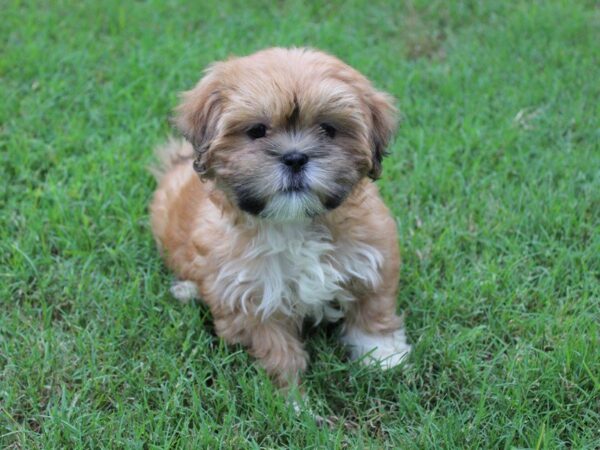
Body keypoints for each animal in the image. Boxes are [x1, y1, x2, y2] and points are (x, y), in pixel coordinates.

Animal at [151, 48, 412, 386]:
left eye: (328, 129)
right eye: (257, 131)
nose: (295, 158)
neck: (295, 223)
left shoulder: (374, 254)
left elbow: (373, 308)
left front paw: (384, 358)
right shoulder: (251, 298)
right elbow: (275, 348)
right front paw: (289, 393)